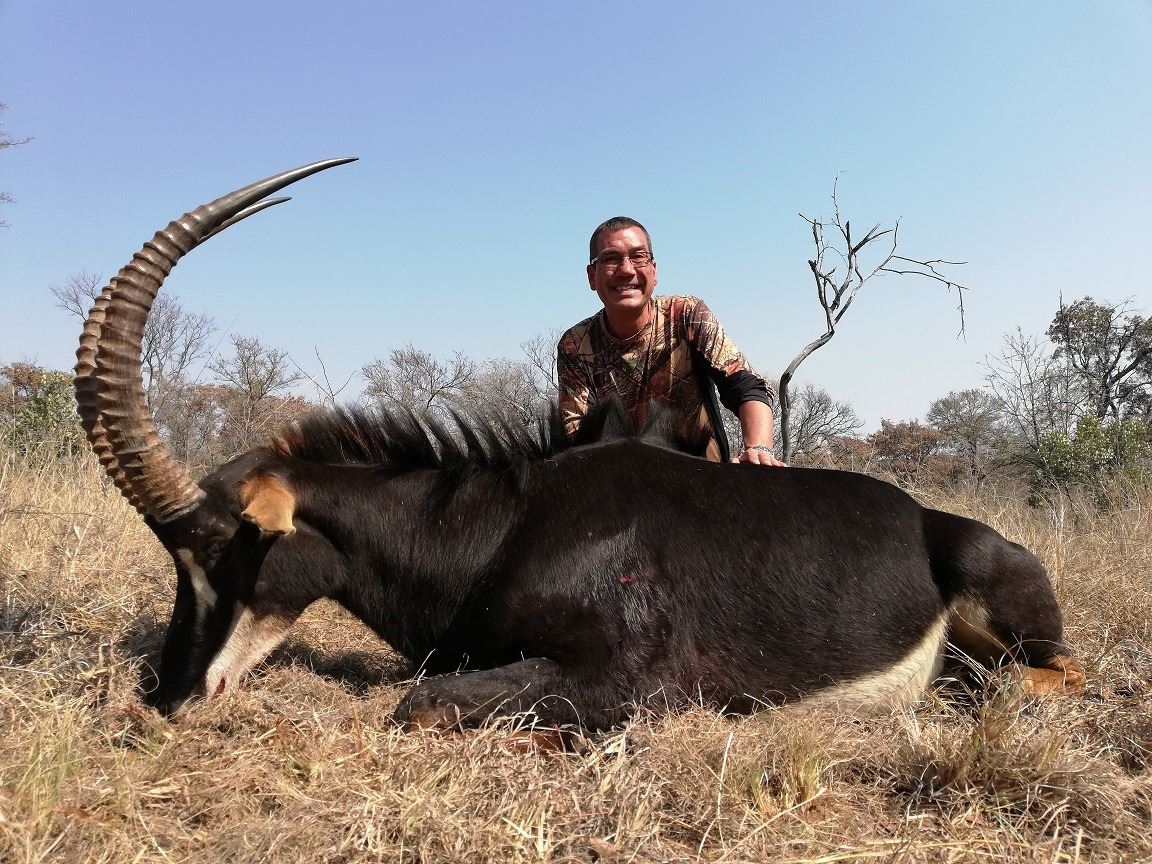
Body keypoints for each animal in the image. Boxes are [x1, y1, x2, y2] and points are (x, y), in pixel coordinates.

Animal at [76, 158, 1085, 735]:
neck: (504, 525)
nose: (165, 696)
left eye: (223, 548)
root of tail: (926, 515)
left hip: (1004, 605)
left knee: (1046, 675)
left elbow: (419, 701)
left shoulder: (631, 684)